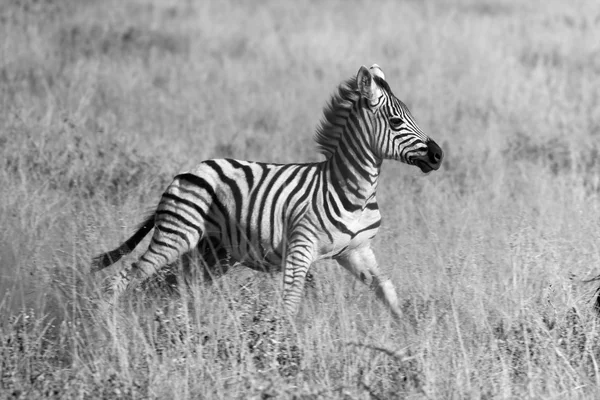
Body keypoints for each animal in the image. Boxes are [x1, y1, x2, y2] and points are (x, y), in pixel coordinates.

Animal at [91, 63, 442, 318]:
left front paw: (409, 338)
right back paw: (105, 322)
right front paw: (282, 352)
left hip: (214, 253)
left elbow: (387, 290)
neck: (353, 191)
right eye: (396, 122)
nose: (438, 155)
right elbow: (289, 306)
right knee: (129, 276)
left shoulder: (356, 251)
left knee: (169, 285)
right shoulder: (300, 248)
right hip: (177, 235)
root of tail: (187, 172)